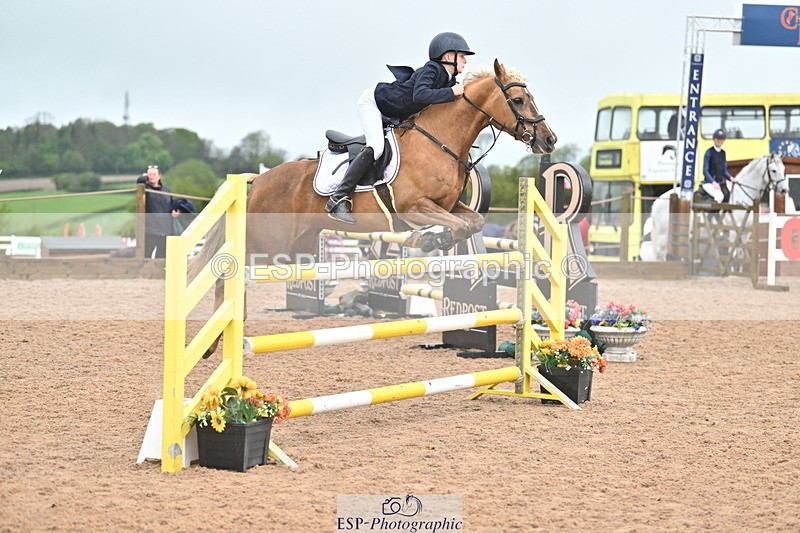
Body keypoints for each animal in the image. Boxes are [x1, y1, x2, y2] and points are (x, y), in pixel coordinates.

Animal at [190, 59, 557, 357]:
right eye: (518, 100)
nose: (549, 139)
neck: (440, 139)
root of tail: (258, 181)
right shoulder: (413, 207)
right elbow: (457, 226)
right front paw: (426, 240)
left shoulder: (451, 205)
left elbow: (473, 223)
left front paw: (426, 241)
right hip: (266, 244)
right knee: (225, 273)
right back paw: (212, 342)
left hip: (294, 249)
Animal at [645, 153, 788, 261]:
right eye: (774, 171)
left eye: (783, 169)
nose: (784, 190)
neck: (743, 194)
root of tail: (658, 201)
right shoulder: (734, 231)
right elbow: (732, 253)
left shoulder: (746, 232)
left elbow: (741, 254)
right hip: (664, 234)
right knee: (660, 255)